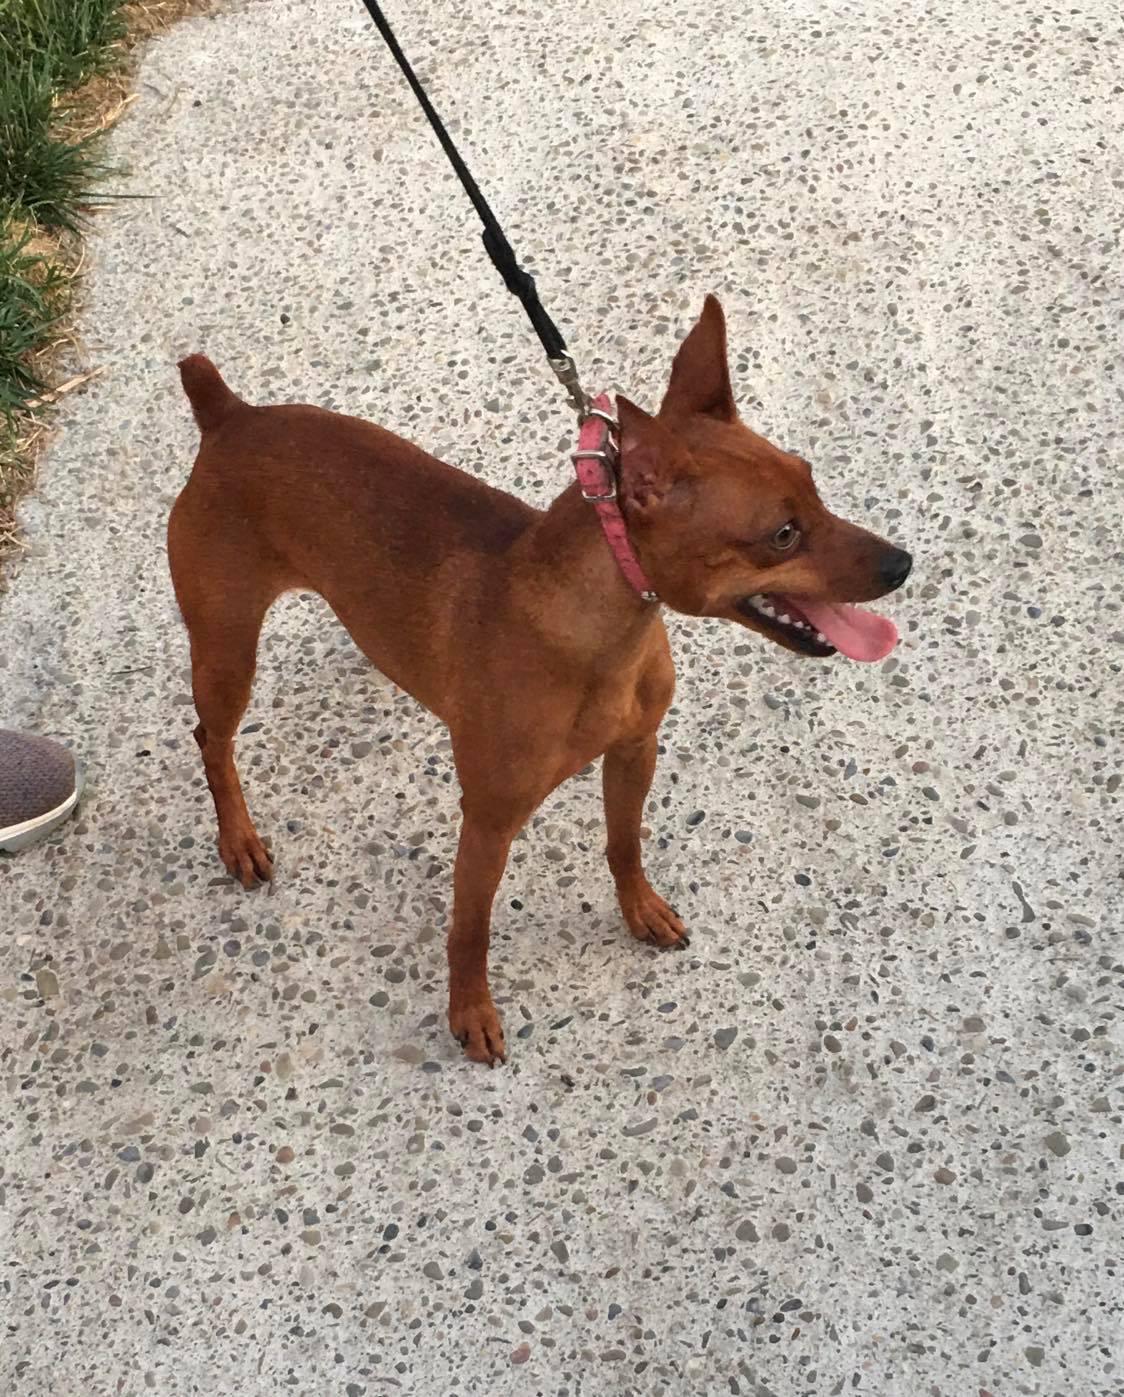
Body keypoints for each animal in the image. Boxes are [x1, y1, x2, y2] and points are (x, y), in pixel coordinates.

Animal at [168, 296, 911, 1064]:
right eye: (783, 535)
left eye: (812, 480)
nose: (902, 564)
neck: (596, 634)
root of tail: (230, 414)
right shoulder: (489, 821)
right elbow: (470, 929)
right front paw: (470, 1011)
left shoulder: (635, 749)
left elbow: (624, 843)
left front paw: (640, 909)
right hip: (226, 651)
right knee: (211, 741)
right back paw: (238, 840)